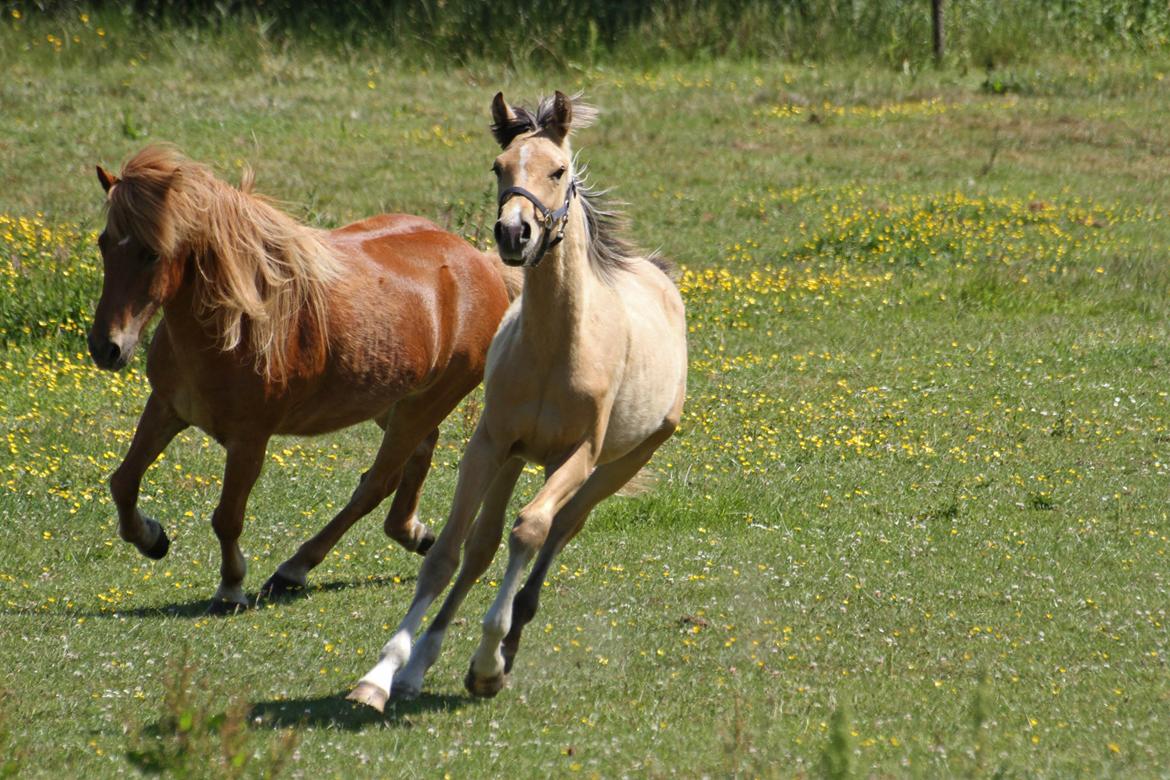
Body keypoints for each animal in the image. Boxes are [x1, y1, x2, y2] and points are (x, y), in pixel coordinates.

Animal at [351, 91, 687, 706]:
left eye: (558, 171)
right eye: (499, 168)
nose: (514, 234)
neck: (555, 349)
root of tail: (656, 277)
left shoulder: (578, 455)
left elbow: (529, 531)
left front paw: (487, 662)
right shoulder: (491, 442)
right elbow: (448, 553)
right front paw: (382, 674)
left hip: (616, 465)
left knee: (557, 531)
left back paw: (502, 653)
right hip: (518, 457)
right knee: (484, 545)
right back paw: (419, 667)